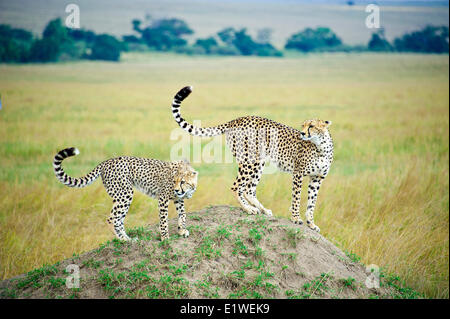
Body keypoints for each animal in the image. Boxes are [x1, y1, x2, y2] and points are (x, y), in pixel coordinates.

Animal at [52, 149, 197, 241]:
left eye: (182, 182)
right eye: (174, 181)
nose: (177, 190)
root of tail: (107, 161)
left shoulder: (178, 199)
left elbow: (182, 214)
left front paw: (182, 230)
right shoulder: (163, 198)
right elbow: (163, 220)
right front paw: (165, 237)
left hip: (123, 196)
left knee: (119, 220)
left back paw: (128, 239)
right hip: (125, 193)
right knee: (112, 219)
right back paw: (122, 239)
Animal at [171, 86, 332, 234]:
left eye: (312, 126)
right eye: (303, 126)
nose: (302, 133)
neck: (320, 146)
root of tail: (236, 119)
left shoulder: (317, 178)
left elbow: (312, 203)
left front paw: (311, 224)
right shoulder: (298, 174)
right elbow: (296, 198)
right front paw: (296, 218)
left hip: (258, 162)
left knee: (249, 189)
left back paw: (263, 209)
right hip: (250, 161)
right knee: (237, 187)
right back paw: (248, 209)